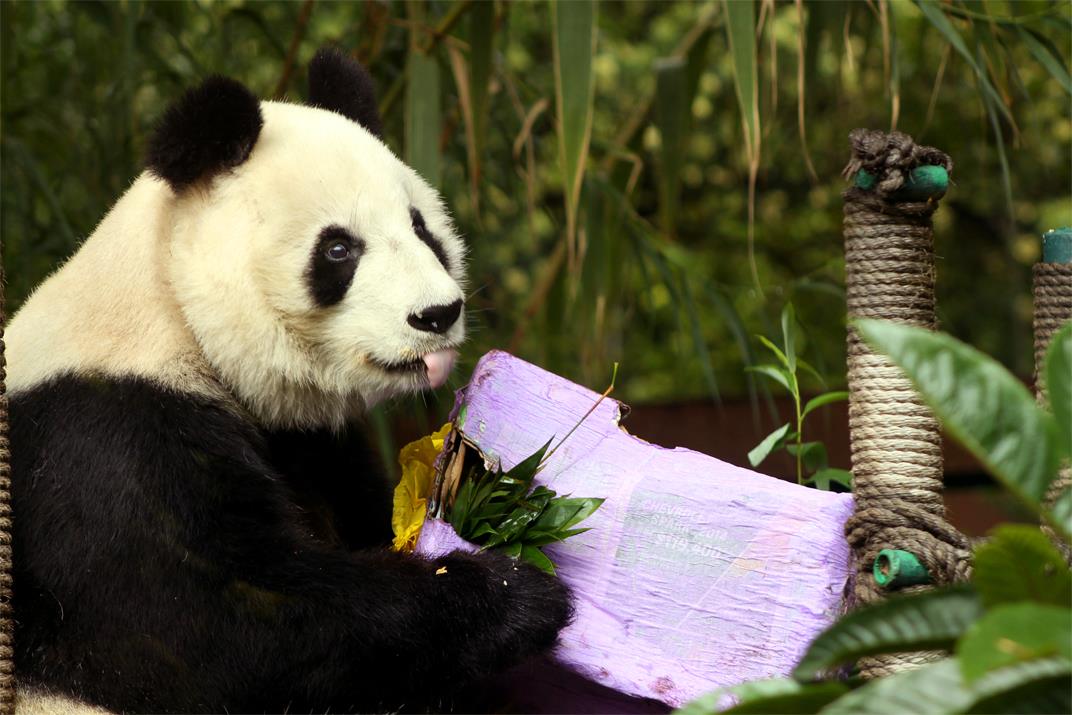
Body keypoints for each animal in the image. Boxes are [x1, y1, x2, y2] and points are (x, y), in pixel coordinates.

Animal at [7, 48, 571, 714]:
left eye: (421, 228)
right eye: (337, 250)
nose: (437, 315)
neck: (175, 316)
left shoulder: (310, 443)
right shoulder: (105, 445)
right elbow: (217, 626)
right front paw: (511, 591)